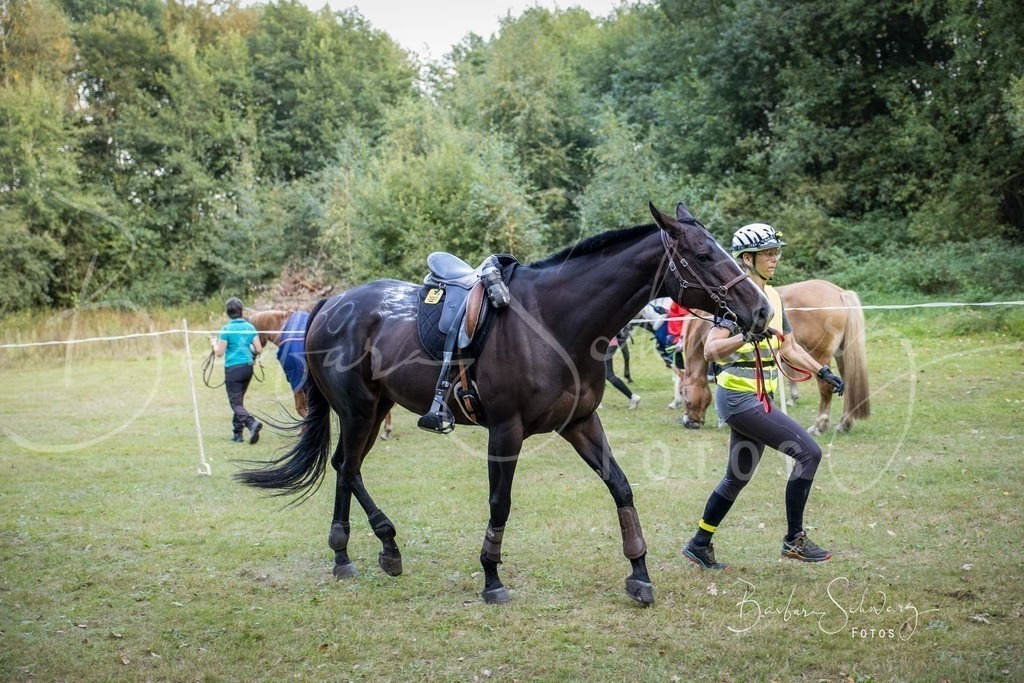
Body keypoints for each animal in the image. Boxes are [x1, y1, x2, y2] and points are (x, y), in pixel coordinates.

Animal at [677, 279, 870, 434]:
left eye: (684, 394)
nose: (688, 422)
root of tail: (839, 293)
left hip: (819, 354)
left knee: (825, 388)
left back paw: (819, 425)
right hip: (841, 354)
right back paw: (844, 424)